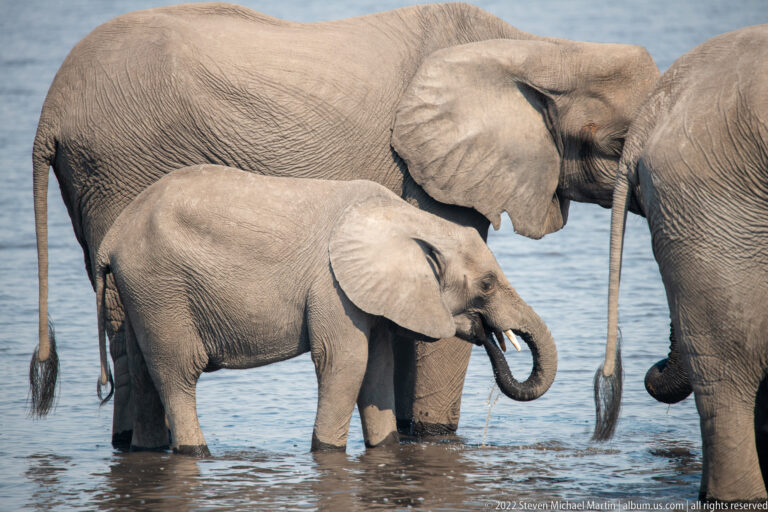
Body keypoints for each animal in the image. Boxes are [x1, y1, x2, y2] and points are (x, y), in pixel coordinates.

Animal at [73, 164, 556, 454]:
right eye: (487, 284)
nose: (490, 336)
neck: (407, 219)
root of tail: (113, 236)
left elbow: (377, 367)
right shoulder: (332, 287)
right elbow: (345, 363)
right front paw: (325, 452)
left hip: (144, 292)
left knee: (143, 372)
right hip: (161, 286)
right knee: (176, 373)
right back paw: (198, 451)